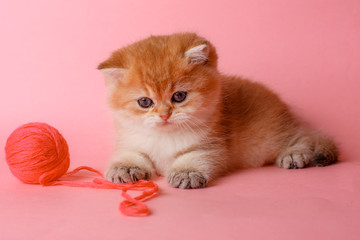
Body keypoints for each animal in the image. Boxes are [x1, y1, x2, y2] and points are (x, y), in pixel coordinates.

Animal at [97, 32, 338, 188]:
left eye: (179, 96)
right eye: (145, 102)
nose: (165, 114)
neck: (165, 137)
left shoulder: (212, 145)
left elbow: (196, 156)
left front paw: (186, 172)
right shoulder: (132, 139)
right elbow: (132, 153)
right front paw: (125, 167)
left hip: (268, 136)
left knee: (304, 135)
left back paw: (295, 153)